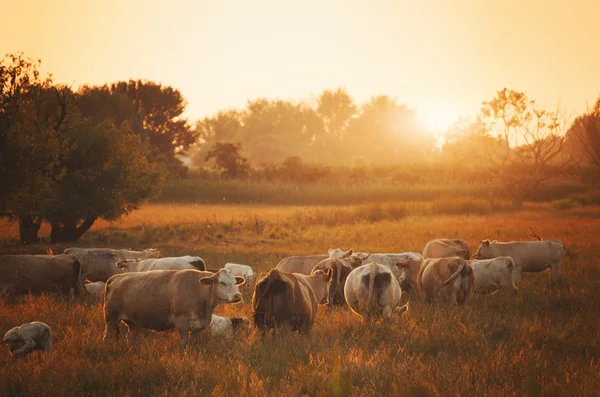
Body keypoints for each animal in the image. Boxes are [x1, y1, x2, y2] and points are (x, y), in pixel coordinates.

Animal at [102, 266, 244, 346]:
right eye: (222, 283)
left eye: (235, 282)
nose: (238, 295)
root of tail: (116, 277)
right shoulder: (181, 323)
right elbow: (184, 343)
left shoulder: (198, 327)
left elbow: (193, 344)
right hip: (111, 319)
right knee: (107, 336)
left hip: (134, 322)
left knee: (130, 337)